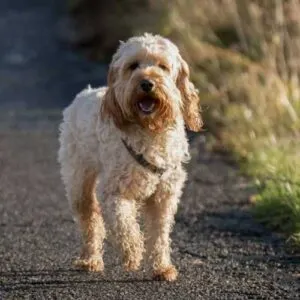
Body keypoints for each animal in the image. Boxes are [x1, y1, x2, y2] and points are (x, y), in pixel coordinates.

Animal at [57, 32, 203, 282]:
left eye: (162, 66)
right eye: (133, 66)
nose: (147, 83)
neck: (150, 131)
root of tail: (84, 93)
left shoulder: (164, 196)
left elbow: (159, 234)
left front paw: (162, 267)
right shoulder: (114, 192)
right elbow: (124, 224)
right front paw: (133, 253)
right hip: (78, 180)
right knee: (90, 218)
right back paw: (90, 259)